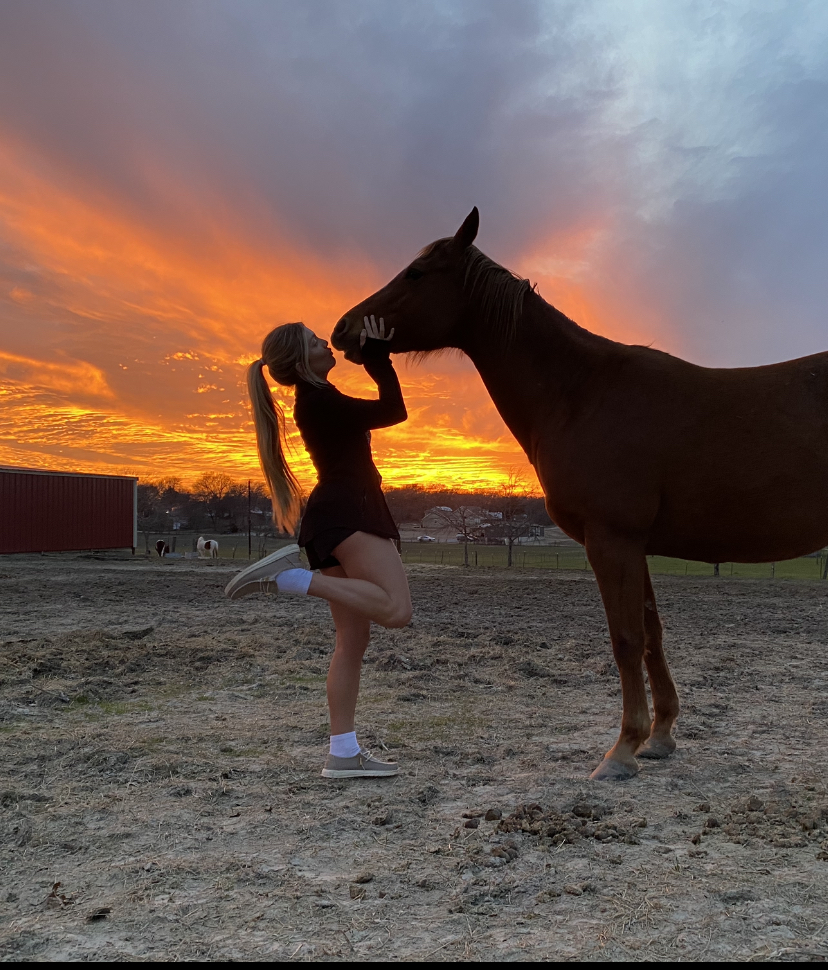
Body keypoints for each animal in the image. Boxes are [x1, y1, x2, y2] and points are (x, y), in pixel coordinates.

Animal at [332, 207, 828, 781]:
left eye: (416, 273)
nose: (343, 330)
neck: (581, 393)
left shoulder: (611, 540)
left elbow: (626, 639)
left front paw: (623, 749)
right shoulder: (634, 545)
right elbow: (652, 634)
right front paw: (660, 736)